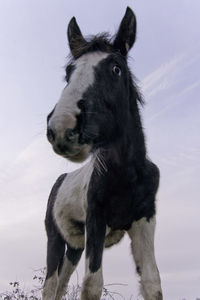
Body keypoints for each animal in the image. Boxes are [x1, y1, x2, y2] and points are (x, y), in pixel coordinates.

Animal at [43, 7, 163, 300]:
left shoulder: (145, 218)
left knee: (60, 285)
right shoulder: (95, 219)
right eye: (68, 72)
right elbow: (92, 284)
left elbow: (152, 282)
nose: (62, 127)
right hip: (55, 239)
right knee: (50, 286)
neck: (127, 175)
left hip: (75, 247)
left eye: (115, 69)